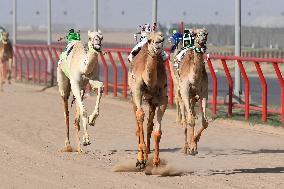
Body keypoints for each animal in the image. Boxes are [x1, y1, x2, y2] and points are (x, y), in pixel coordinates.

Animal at [127, 31, 168, 168]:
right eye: (150, 40)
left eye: (162, 39)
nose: (158, 45)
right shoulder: (137, 92)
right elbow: (140, 115)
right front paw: (140, 159)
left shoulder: (162, 98)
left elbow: (157, 131)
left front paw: (156, 161)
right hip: (133, 97)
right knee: (137, 121)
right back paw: (142, 154)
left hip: (152, 101)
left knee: (149, 124)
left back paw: (148, 151)